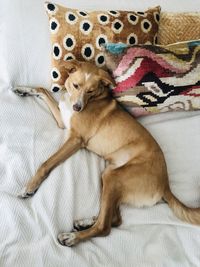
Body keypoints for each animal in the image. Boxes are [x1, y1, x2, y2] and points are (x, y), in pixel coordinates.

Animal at [14, 60, 200, 247]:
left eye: (90, 90)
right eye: (76, 85)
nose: (77, 107)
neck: (88, 100)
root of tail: (165, 185)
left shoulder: (76, 139)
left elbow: (46, 164)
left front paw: (30, 187)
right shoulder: (62, 121)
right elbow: (42, 90)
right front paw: (22, 89)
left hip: (114, 178)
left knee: (105, 227)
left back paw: (72, 237)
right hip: (108, 175)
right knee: (115, 218)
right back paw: (86, 222)